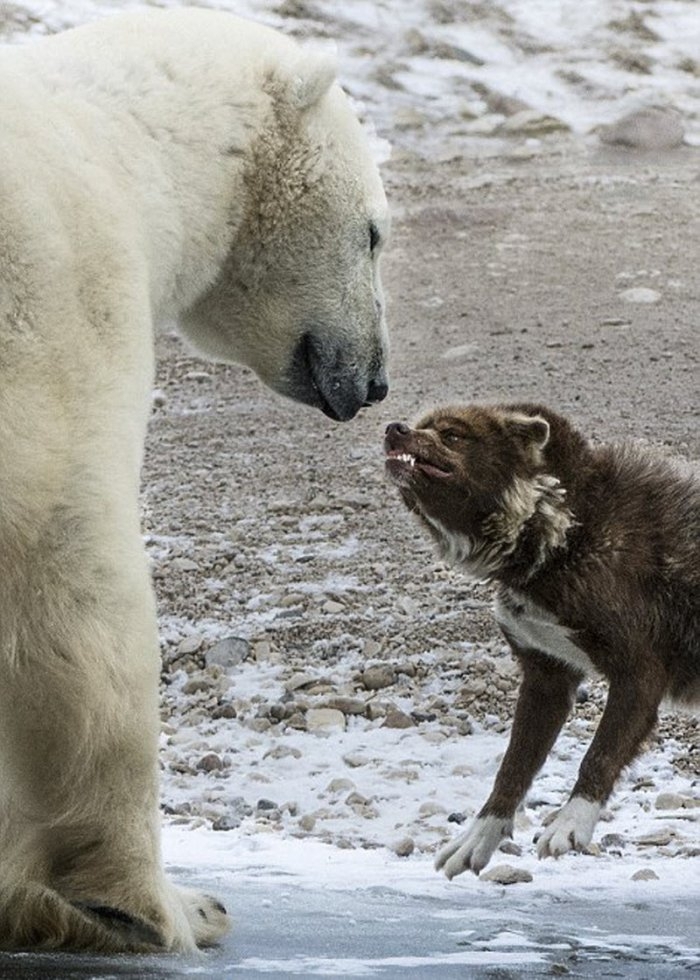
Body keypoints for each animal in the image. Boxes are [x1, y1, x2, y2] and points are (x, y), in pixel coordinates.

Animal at [0, 7, 388, 952]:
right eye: (373, 232)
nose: (376, 380)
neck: (128, 149)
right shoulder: (61, 310)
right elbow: (77, 587)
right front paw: (155, 905)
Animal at [386, 402, 696, 876]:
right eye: (422, 426)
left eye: (453, 435)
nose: (393, 428)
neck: (566, 525)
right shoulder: (546, 678)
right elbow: (512, 768)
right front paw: (480, 835)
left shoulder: (640, 673)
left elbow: (598, 755)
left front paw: (572, 822)